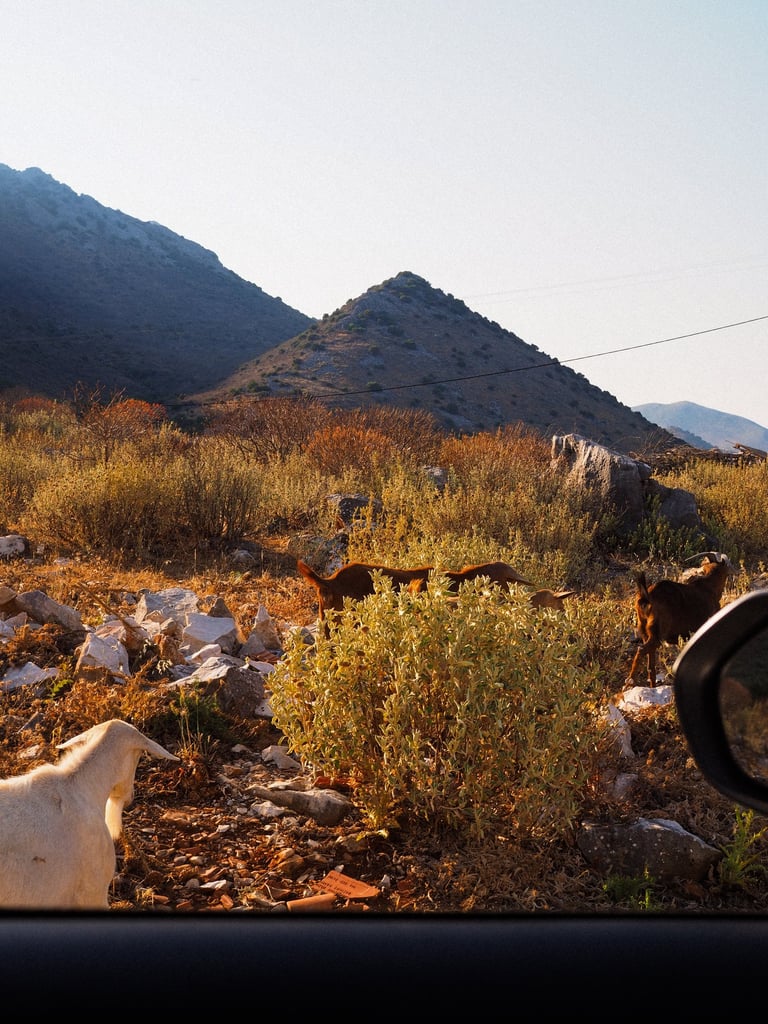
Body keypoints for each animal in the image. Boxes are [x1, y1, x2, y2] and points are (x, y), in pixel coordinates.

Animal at [627, 552, 733, 686]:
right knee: (641, 650)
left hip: (645, 631)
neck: (710, 588)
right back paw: (630, 681)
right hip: (657, 633)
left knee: (650, 665)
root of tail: (646, 597)